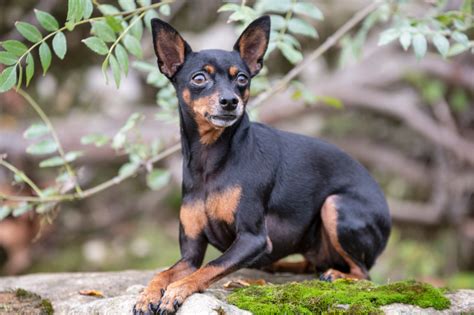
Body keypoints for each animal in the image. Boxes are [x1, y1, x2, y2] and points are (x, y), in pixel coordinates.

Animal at [132, 16, 388, 314]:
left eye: (242, 79)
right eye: (199, 78)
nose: (230, 101)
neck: (211, 160)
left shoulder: (252, 238)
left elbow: (210, 267)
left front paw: (176, 290)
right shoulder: (190, 254)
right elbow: (163, 273)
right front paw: (148, 295)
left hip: (335, 205)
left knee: (363, 273)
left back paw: (335, 275)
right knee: (313, 263)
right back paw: (279, 265)